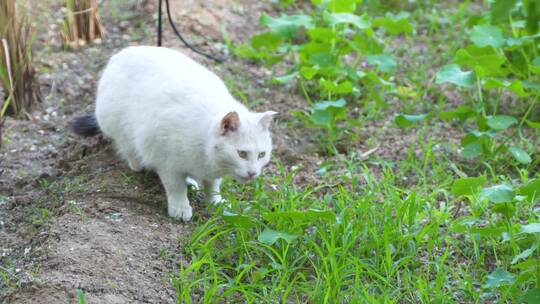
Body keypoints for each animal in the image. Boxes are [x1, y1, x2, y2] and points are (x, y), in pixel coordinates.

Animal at [70, 45, 276, 221]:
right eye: (241, 154)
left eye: (261, 154)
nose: (253, 173)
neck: (205, 146)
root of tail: (119, 55)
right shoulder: (167, 163)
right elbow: (176, 188)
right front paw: (180, 209)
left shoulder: (211, 173)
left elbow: (212, 187)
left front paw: (215, 203)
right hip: (119, 126)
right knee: (128, 150)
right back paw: (140, 164)